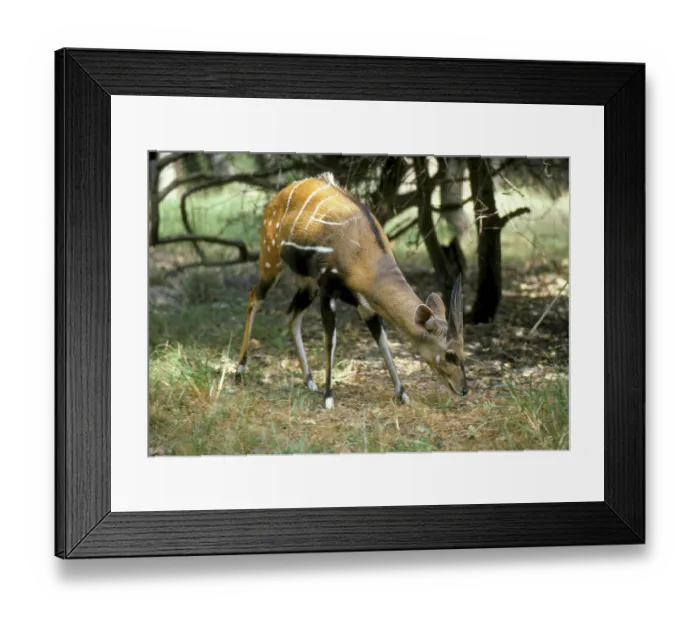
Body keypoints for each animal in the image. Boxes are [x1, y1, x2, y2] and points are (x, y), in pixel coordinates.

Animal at [235, 172, 468, 409]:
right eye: (449, 354)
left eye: (463, 351)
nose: (464, 389)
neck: (363, 256)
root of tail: (276, 197)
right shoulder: (328, 289)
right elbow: (331, 340)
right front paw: (329, 398)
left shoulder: (363, 303)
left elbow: (382, 341)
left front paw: (402, 394)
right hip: (271, 261)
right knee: (254, 296)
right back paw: (239, 370)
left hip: (307, 283)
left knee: (292, 316)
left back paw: (310, 382)